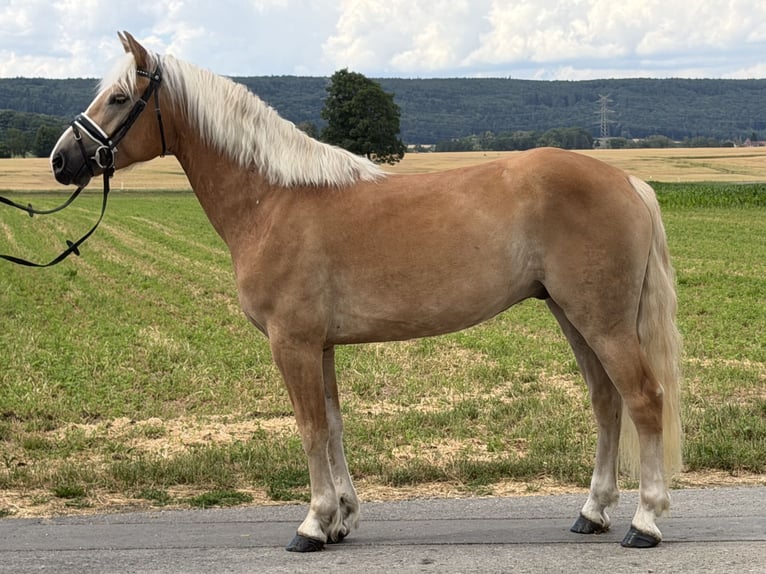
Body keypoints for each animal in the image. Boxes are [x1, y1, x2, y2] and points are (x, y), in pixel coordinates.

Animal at [50, 32, 682, 552]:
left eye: (118, 98)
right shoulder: (321, 346)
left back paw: (645, 521)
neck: (273, 200)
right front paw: (342, 518)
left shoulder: (292, 344)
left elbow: (309, 428)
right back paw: (593, 512)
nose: (61, 160)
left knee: (644, 399)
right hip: (573, 316)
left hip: (601, 321)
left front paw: (312, 523)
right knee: (606, 402)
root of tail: (628, 180)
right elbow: (332, 425)